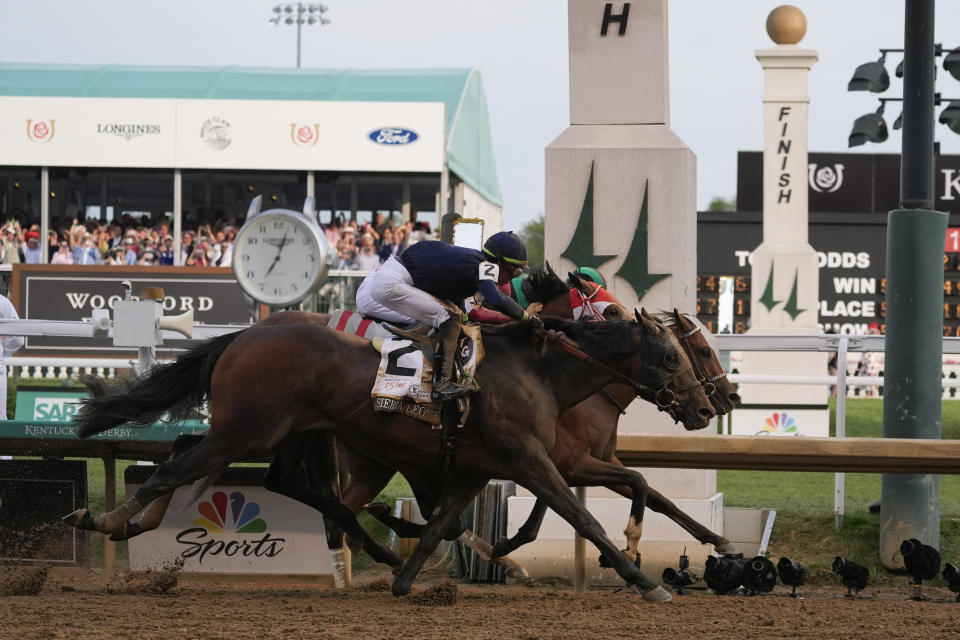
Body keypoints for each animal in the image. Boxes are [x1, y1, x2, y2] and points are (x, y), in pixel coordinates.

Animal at [67, 310, 712, 600]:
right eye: (676, 356)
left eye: (692, 352)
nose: (709, 407)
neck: (541, 371)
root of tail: (248, 333)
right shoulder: (534, 460)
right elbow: (582, 516)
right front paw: (643, 578)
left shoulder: (481, 468)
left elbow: (443, 525)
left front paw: (405, 579)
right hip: (249, 430)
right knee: (175, 467)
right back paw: (106, 518)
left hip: (281, 433)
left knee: (249, 473)